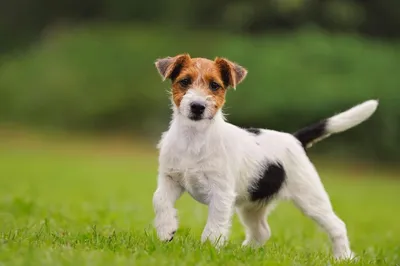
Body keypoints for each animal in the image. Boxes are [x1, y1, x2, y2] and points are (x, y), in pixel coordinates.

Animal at [152, 53, 378, 260]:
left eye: (215, 85)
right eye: (185, 81)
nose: (197, 107)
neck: (194, 138)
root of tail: (294, 138)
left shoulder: (221, 193)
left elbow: (215, 225)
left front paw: (208, 248)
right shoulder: (170, 178)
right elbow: (160, 200)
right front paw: (166, 230)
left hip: (310, 198)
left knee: (337, 225)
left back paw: (343, 256)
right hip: (253, 204)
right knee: (262, 231)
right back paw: (244, 252)